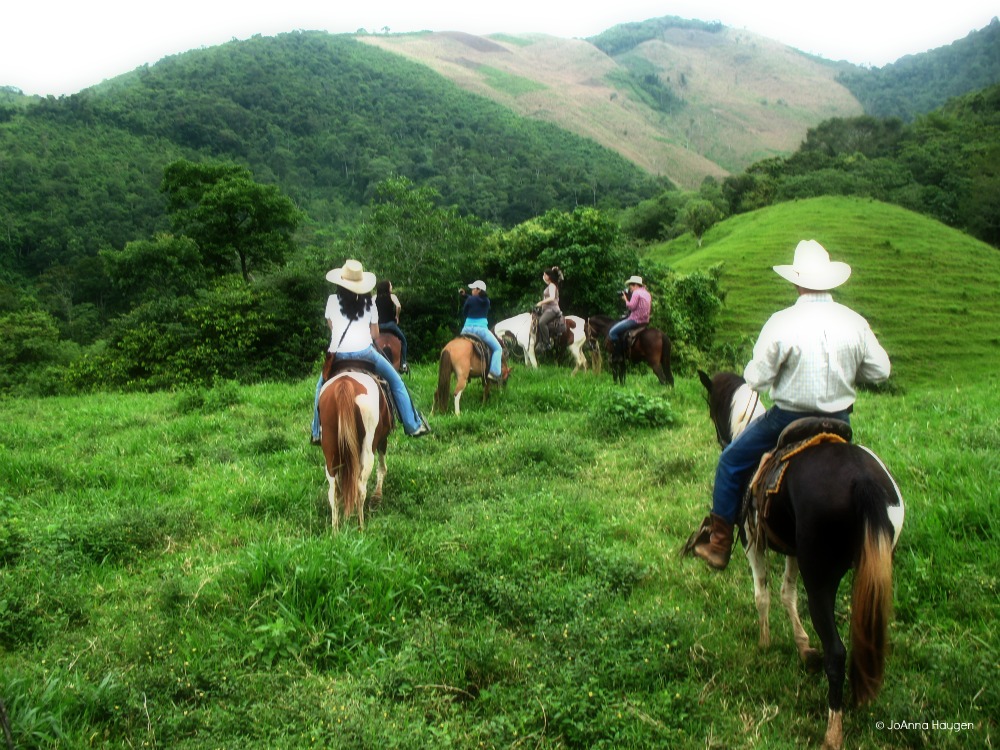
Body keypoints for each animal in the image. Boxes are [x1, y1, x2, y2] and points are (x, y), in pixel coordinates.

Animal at [318, 356, 392, 528]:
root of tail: (345, 384)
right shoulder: (382, 440)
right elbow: (382, 467)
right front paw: (377, 497)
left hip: (330, 451)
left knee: (333, 490)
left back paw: (336, 529)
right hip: (367, 450)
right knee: (360, 488)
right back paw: (361, 527)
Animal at [696, 372, 908, 750]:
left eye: (710, 407)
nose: (722, 441)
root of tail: (863, 481)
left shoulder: (753, 542)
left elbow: (763, 595)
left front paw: (765, 643)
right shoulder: (793, 551)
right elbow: (787, 594)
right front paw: (803, 646)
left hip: (820, 577)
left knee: (837, 651)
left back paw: (833, 730)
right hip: (871, 572)